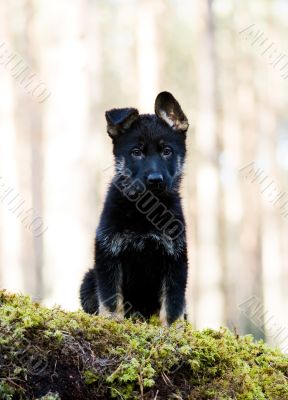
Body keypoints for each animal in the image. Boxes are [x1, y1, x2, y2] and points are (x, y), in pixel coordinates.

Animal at [80, 92, 189, 326]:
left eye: (167, 151)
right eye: (136, 152)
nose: (155, 180)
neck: (145, 212)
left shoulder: (176, 258)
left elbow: (173, 303)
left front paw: (172, 329)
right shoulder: (108, 252)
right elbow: (111, 297)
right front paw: (112, 321)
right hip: (88, 279)